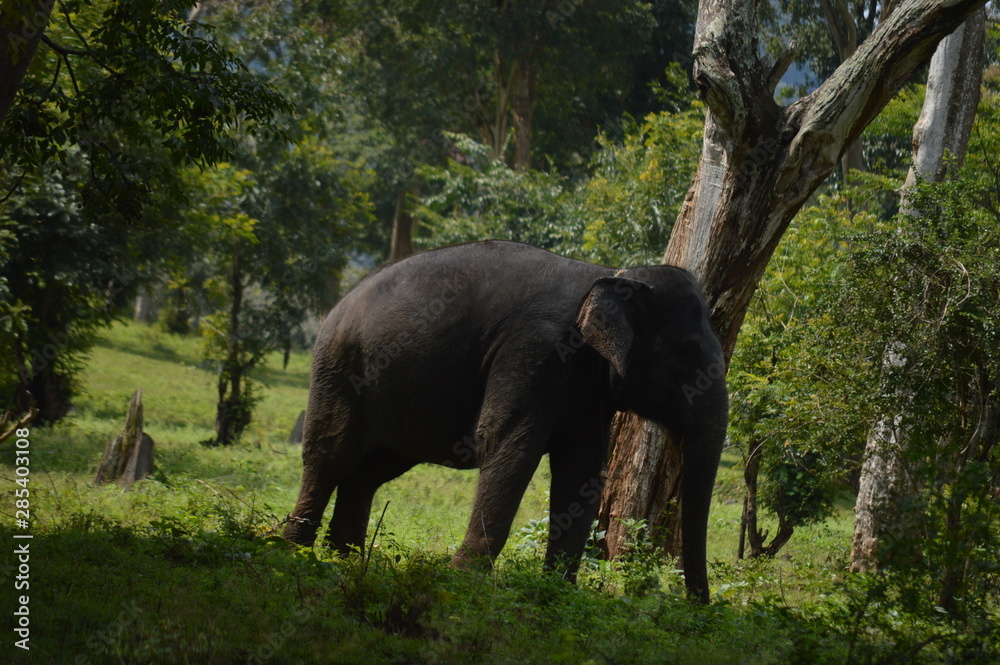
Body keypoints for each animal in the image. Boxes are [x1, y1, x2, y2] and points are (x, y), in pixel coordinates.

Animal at [284, 240, 728, 602]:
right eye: (687, 354)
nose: (698, 605)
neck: (613, 275)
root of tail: (338, 305)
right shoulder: (534, 349)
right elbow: (508, 446)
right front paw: (462, 579)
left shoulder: (589, 387)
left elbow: (583, 469)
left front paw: (554, 593)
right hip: (340, 371)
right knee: (329, 457)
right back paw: (293, 554)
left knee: (369, 473)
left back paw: (345, 560)